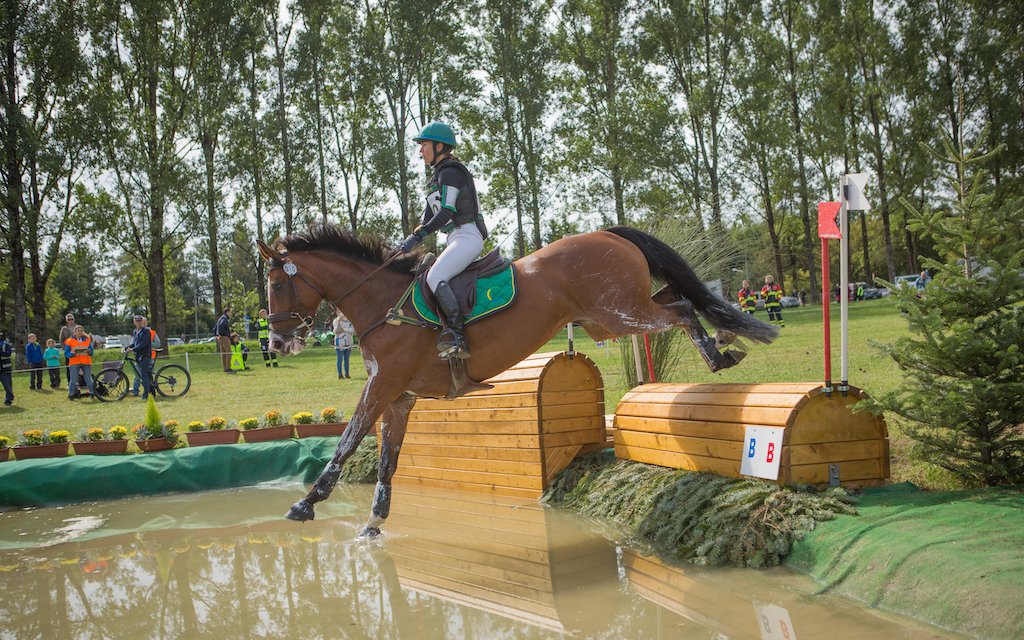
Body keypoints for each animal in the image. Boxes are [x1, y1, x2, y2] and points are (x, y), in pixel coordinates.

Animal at [256, 222, 774, 536]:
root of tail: (607, 234)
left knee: (682, 308)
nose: (277, 344)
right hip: (607, 319)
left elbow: (346, 442)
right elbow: (386, 461)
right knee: (678, 296)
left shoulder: (381, 387)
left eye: (278, 284)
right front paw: (373, 524)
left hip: (620, 312)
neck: (380, 302)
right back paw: (727, 332)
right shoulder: (399, 396)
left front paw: (306, 504)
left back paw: (719, 352)